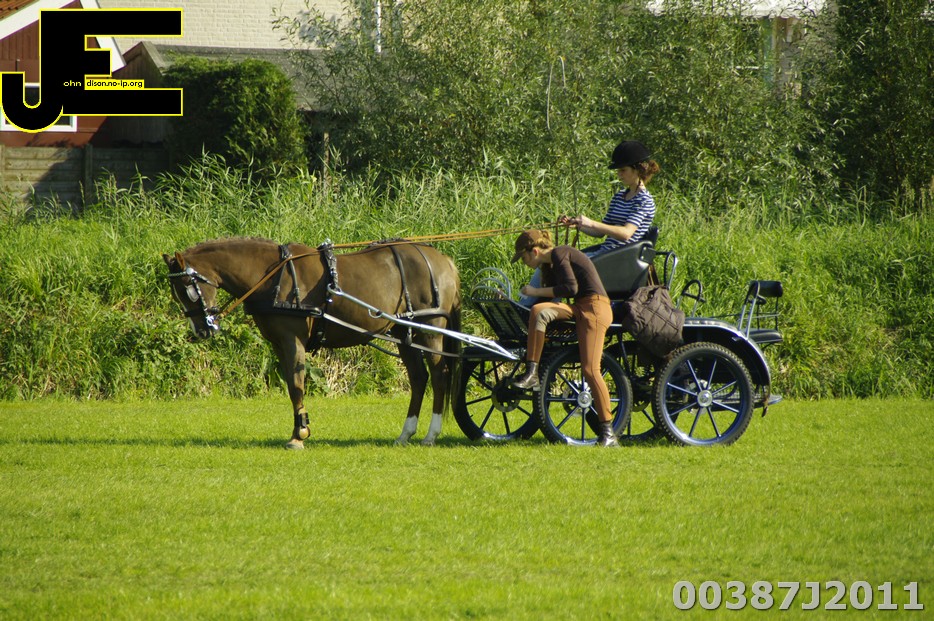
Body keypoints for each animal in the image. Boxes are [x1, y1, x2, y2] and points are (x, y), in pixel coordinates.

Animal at [163, 237, 461, 449]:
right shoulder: (278, 343)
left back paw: (431, 435)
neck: (274, 276)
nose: (202, 330)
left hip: (431, 327)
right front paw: (299, 429)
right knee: (419, 378)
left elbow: (297, 385)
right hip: (403, 331)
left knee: (438, 374)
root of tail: (443, 260)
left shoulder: (292, 339)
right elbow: (290, 386)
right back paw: (405, 434)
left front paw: (299, 435)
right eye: (176, 292)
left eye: (187, 287)